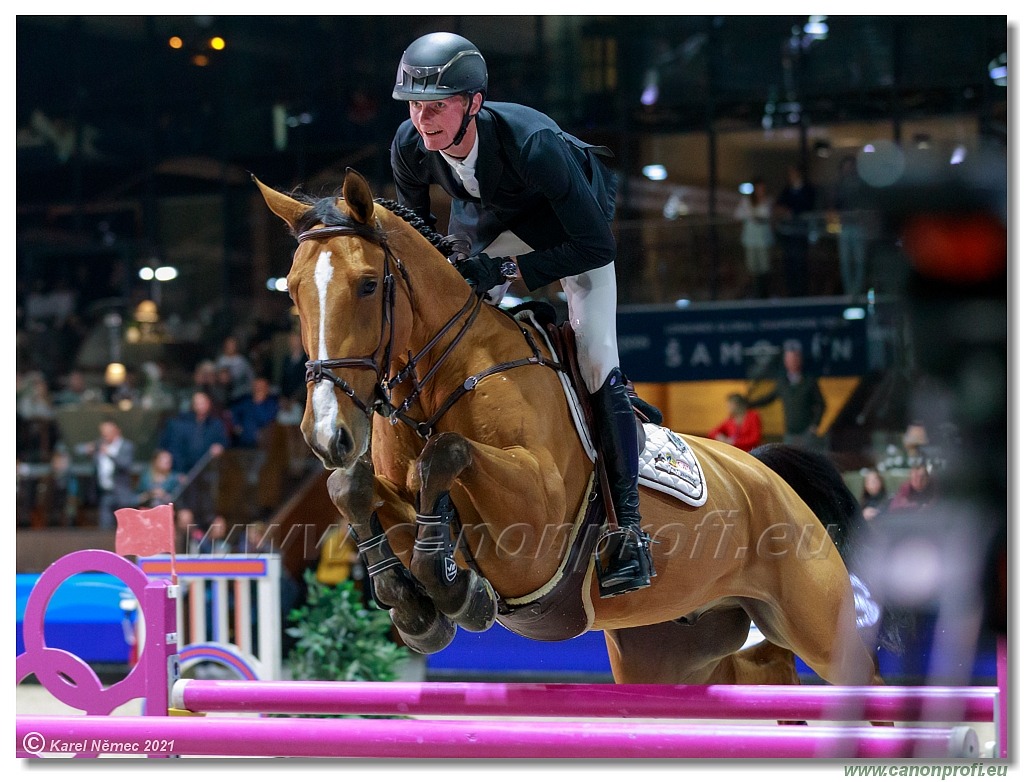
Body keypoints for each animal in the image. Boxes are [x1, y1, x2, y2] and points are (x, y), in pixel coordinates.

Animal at [256, 169, 888, 683]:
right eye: (293, 292)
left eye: (367, 284)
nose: (326, 434)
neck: (443, 379)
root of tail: (769, 477)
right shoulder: (402, 496)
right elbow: (352, 486)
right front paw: (412, 603)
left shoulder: (534, 528)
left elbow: (447, 453)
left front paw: (453, 590)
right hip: (675, 651)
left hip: (818, 627)